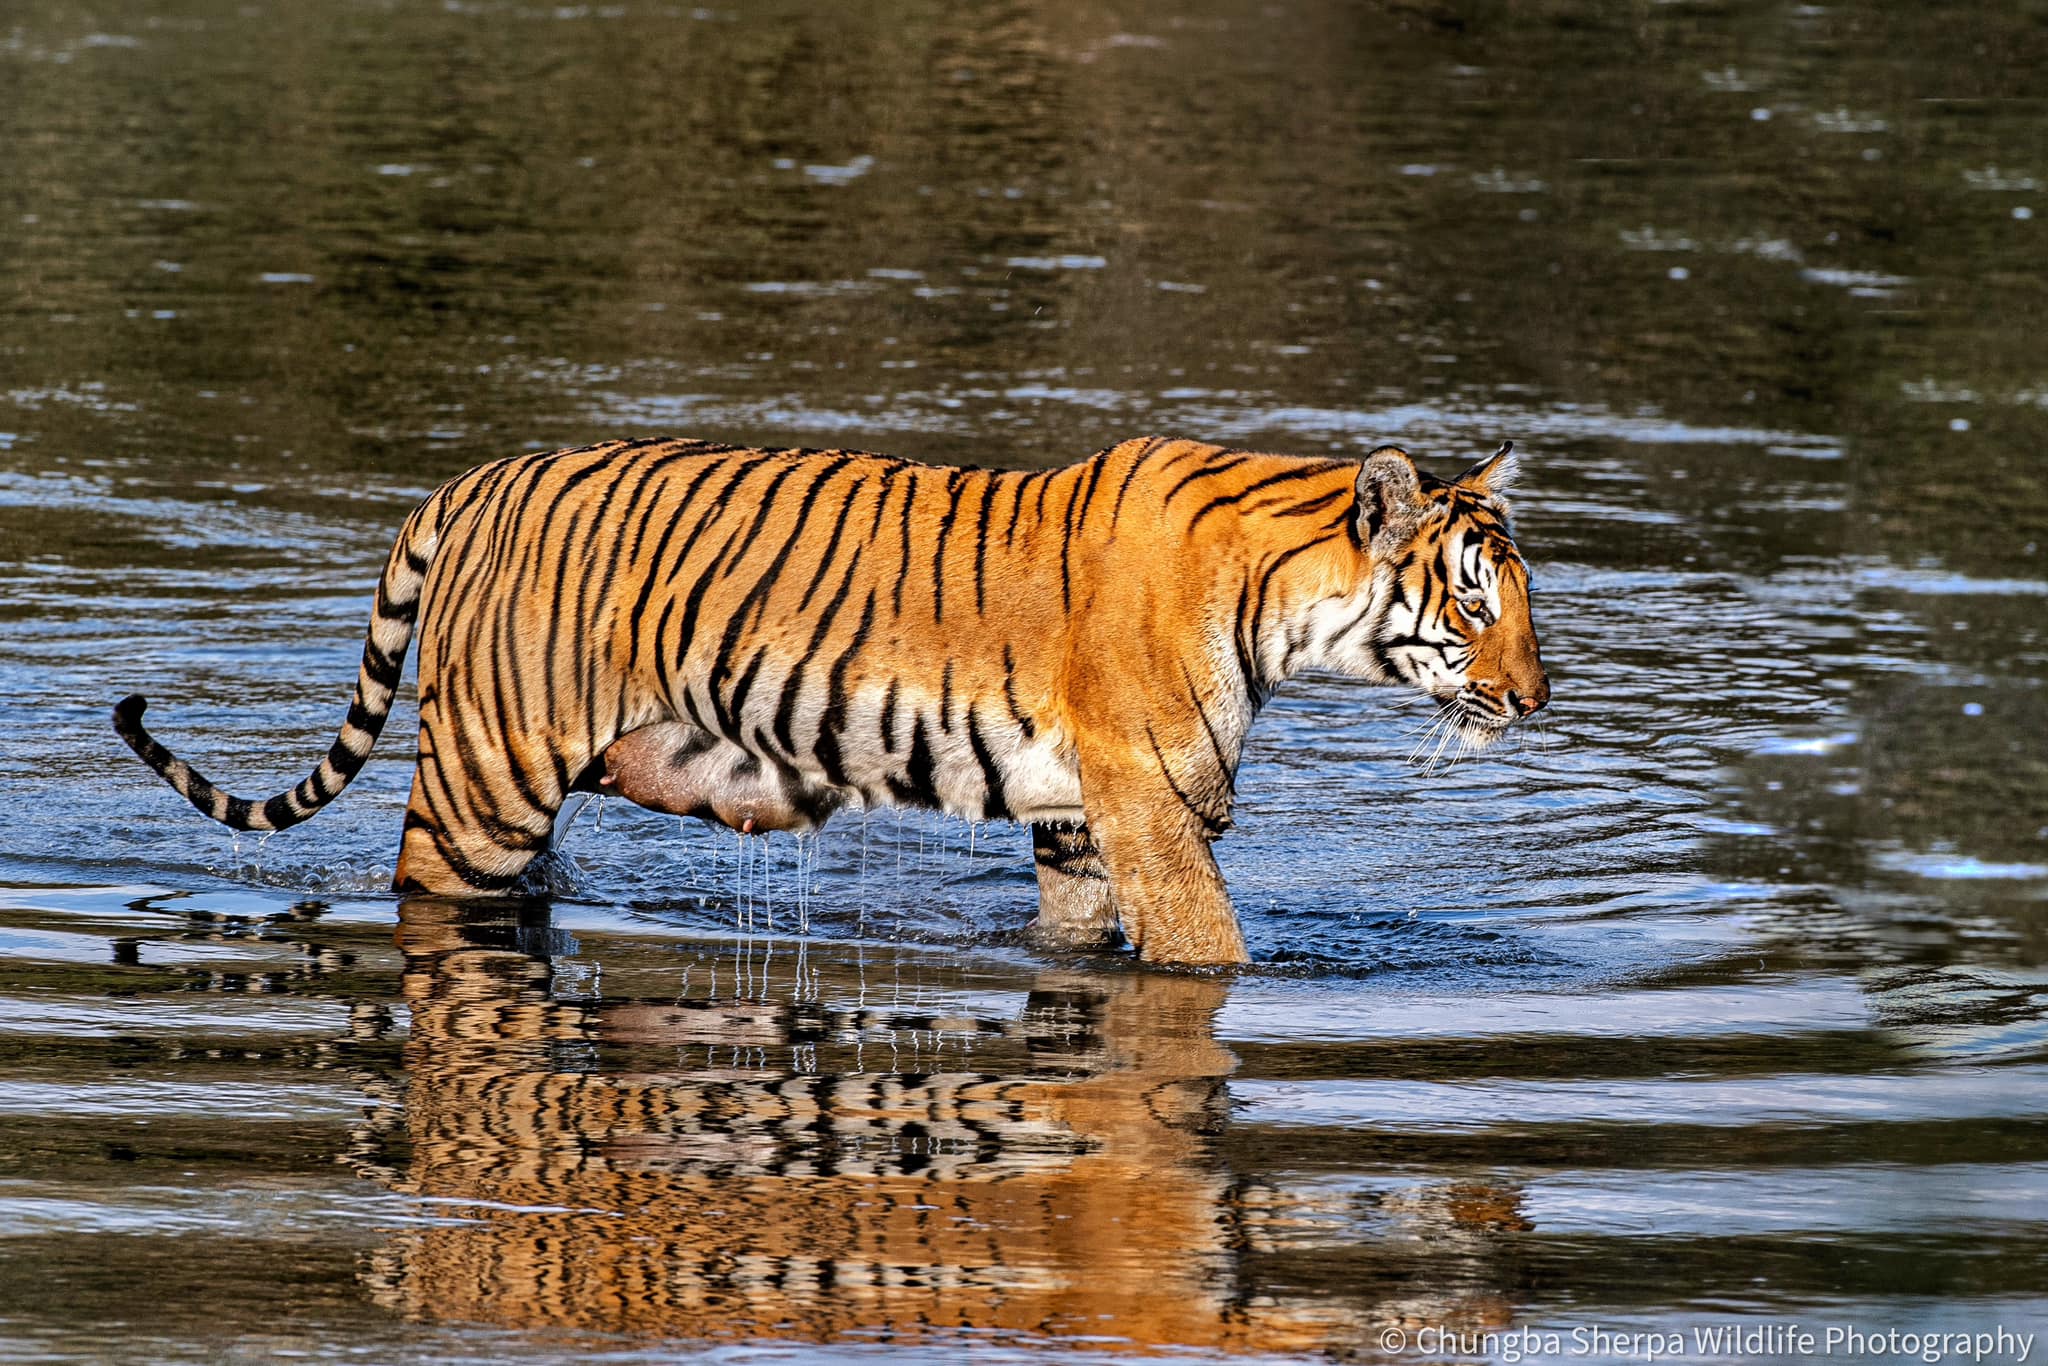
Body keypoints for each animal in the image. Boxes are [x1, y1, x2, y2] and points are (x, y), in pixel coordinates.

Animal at [112, 436, 1540, 962]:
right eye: (1475, 607)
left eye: (1524, 600)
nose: (1535, 696)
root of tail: (469, 478)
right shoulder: (1150, 808)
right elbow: (1211, 956)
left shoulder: (1083, 823)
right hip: (482, 784)